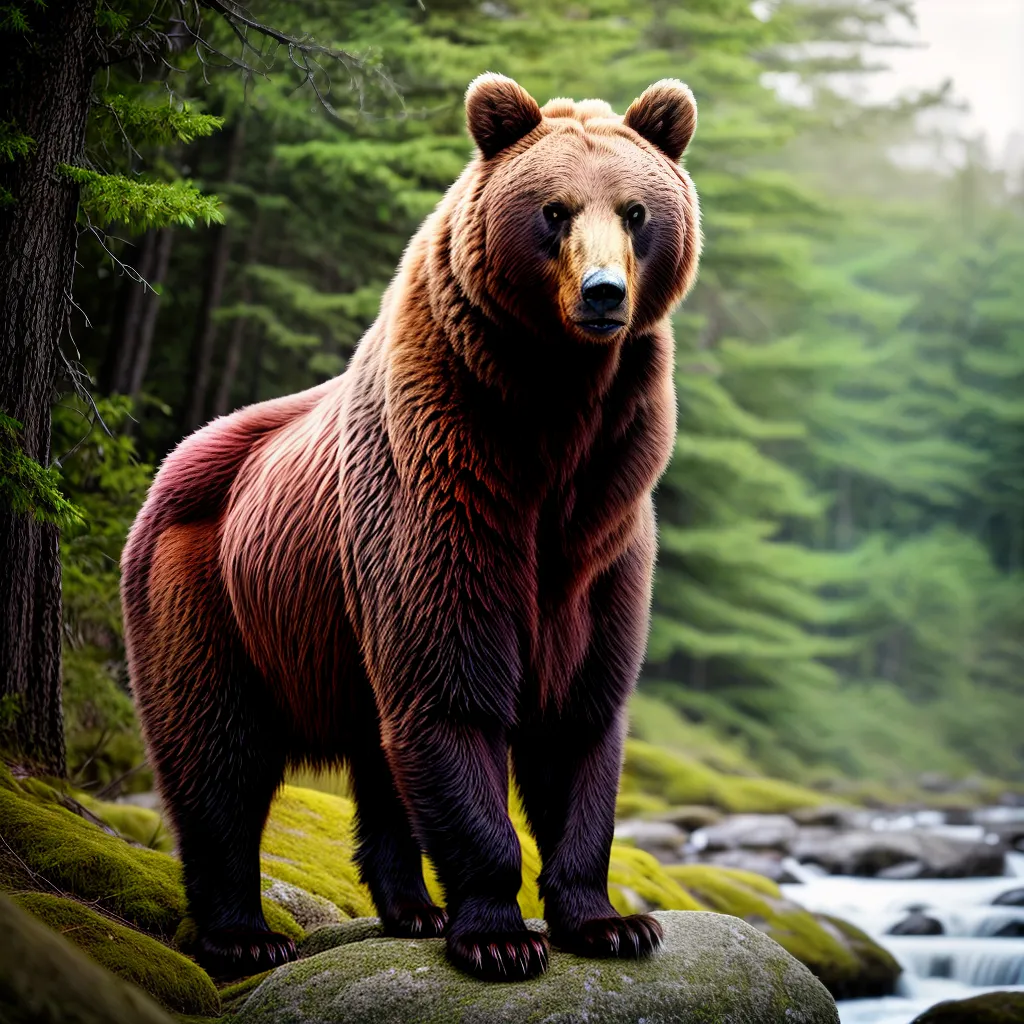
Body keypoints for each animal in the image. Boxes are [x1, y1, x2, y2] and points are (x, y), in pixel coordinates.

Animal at [121, 72, 701, 982]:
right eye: (555, 210)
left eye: (637, 210)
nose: (604, 292)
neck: (553, 423)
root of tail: (172, 463)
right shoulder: (445, 490)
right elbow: (450, 691)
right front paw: (500, 933)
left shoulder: (604, 530)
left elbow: (579, 717)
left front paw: (610, 922)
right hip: (210, 590)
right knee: (216, 753)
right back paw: (245, 931)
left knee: (376, 760)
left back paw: (412, 909)